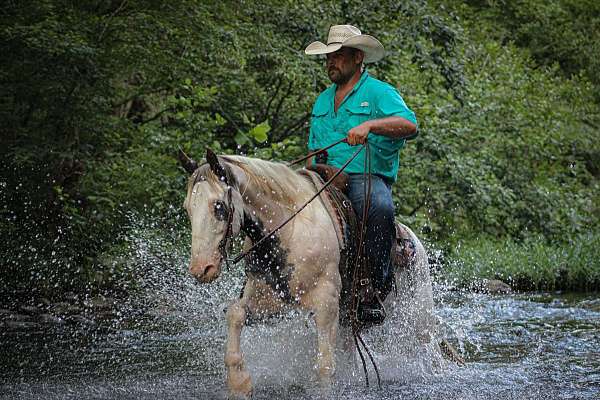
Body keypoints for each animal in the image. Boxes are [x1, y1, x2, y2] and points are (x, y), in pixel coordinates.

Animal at [178, 149, 436, 396]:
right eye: (188, 208)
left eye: (218, 207)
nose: (201, 269)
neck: (289, 230)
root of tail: (411, 240)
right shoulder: (269, 301)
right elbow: (235, 314)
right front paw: (239, 382)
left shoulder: (326, 306)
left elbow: (324, 366)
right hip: (350, 322)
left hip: (419, 320)